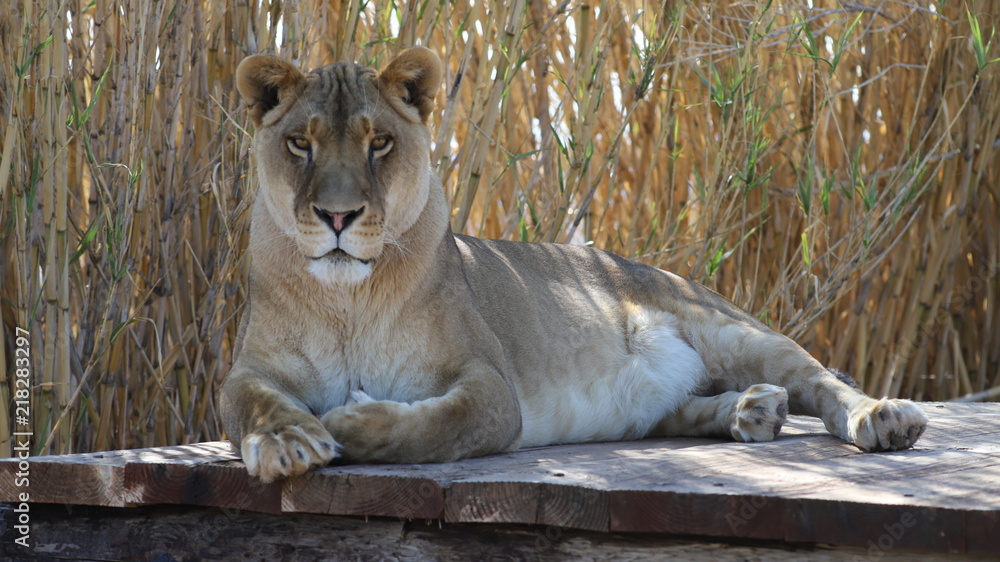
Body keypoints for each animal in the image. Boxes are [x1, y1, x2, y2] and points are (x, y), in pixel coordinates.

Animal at [221, 47, 928, 483]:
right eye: (301, 144)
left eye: (380, 143)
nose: (338, 216)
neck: (348, 298)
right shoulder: (249, 369)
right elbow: (252, 401)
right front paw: (286, 440)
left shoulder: (490, 383)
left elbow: (434, 427)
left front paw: (347, 421)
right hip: (660, 402)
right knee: (683, 410)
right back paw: (753, 411)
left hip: (731, 329)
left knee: (823, 381)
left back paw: (882, 419)